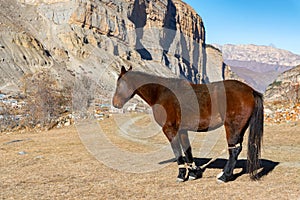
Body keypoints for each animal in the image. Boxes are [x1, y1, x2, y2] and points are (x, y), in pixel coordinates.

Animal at [112, 66, 262, 183]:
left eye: (119, 84)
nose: (115, 104)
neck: (161, 93)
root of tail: (251, 91)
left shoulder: (169, 130)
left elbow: (178, 152)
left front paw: (181, 175)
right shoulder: (182, 130)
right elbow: (187, 150)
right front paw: (193, 173)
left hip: (232, 128)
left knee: (234, 150)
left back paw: (224, 176)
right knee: (236, 149)